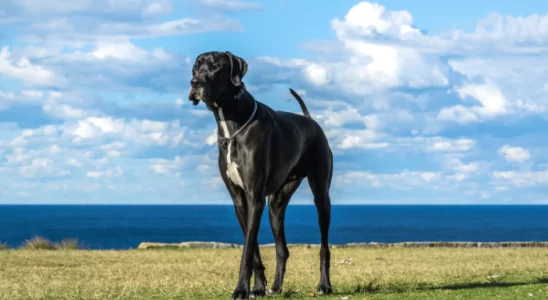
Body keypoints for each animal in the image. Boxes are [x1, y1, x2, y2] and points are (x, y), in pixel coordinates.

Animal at [188, 50, 334, 298]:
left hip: (321, 196)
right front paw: (257, 288)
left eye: (216, 66)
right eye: (196, 67)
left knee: (324, 247)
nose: (195, 82)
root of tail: (310, 120)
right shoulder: (241, 200)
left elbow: (246, 251)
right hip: (276, 204)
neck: (232, 123)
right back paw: (276, 287)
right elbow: (253, 248)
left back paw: (325, 286)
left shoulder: (254, 197)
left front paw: (241, 290)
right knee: (282, 249)